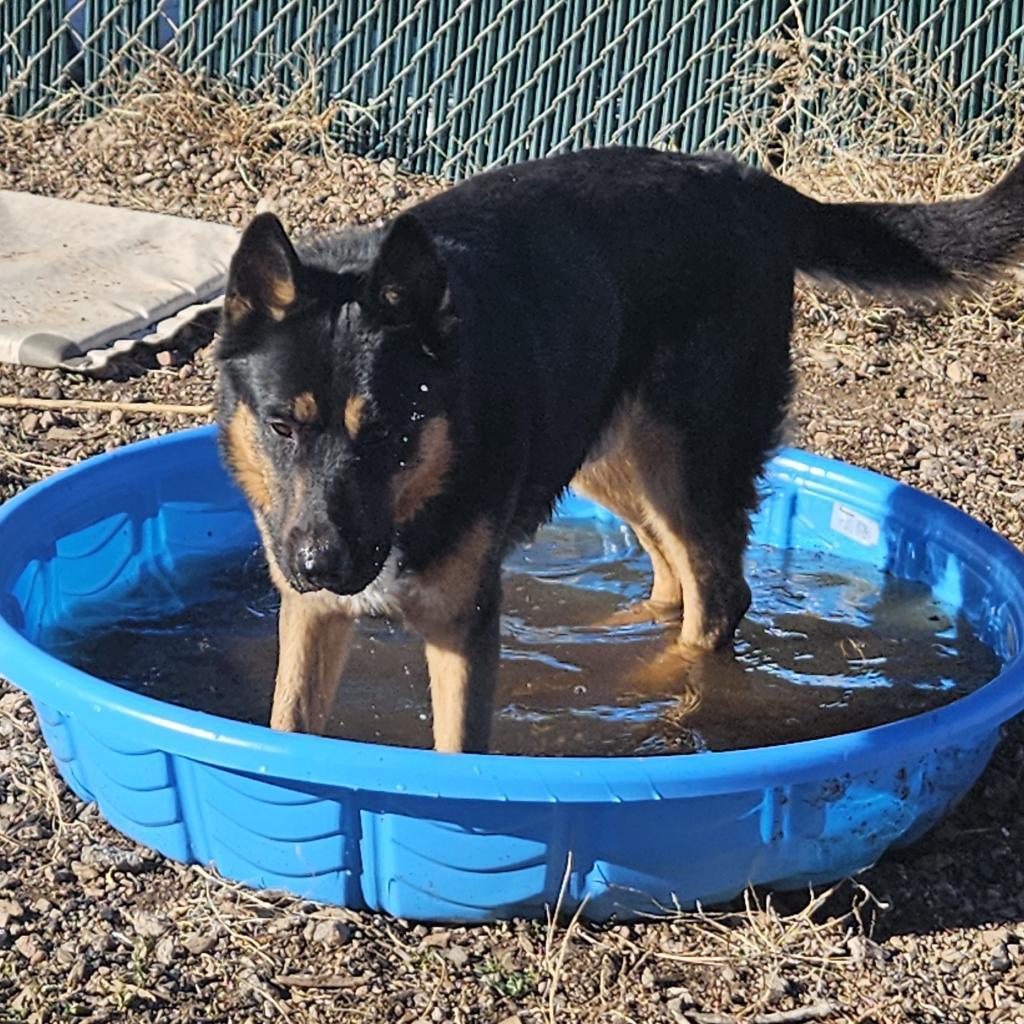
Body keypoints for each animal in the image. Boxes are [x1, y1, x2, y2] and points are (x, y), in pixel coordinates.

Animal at [214, 146, 1024, 753]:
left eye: (385, 430)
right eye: (281, 426)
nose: (321, 564)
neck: (428, 476)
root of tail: (741, 182)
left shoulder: (460, 629)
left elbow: (455, 753)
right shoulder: (311, 616)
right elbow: (290, 723)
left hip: (688, 461)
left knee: (718, 598)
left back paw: (644, 685)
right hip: (614, 454)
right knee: (673, 575)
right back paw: (611, 638)